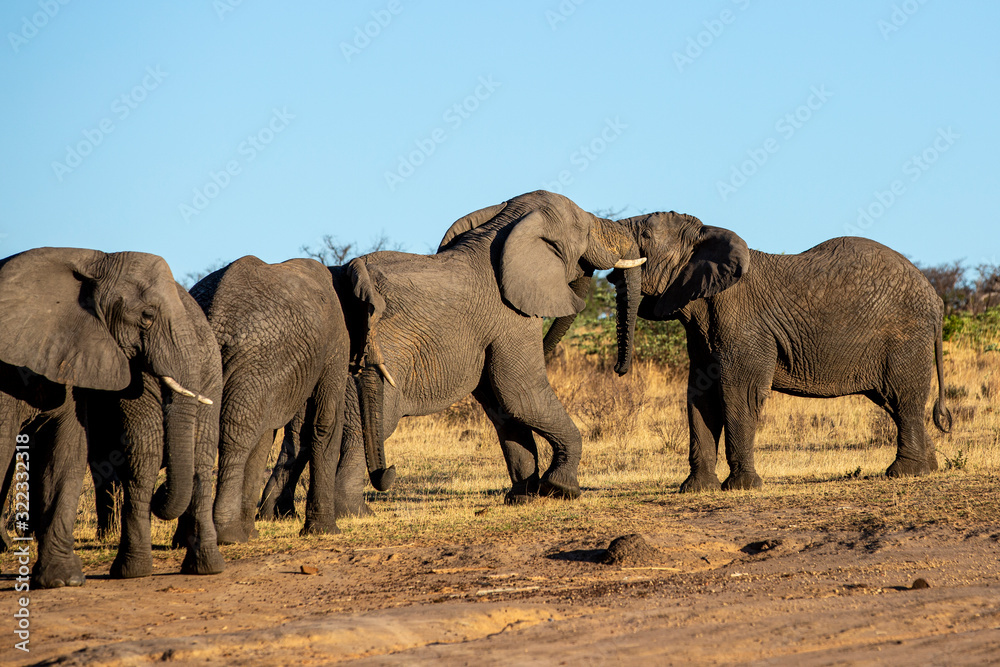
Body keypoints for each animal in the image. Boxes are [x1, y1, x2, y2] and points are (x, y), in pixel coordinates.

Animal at [191, 255, 389, 544]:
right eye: (377, 315)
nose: (389, 472)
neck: (339, 270)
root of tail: (215, 317)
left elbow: (283, 432)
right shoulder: (335, 342)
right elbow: (326, 422)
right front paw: (325, 531)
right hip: (256, 361)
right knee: (236, 435)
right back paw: (229, 536)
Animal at [598, 213, 951, 491]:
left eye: (645, 236)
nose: (619, 371)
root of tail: (936, 300)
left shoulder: (744, 327)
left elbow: (739, 392)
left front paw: (741, 488)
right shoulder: (701, 328)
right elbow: (700, 396)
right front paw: (695, 490)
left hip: (906, 336)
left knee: (902, 398)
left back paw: (904, 473)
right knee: (895, 403)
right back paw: (929, 468)